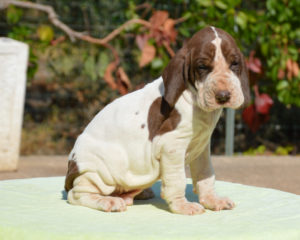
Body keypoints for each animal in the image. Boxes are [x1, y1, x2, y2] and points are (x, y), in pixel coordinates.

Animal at [65, 26, 251, 216]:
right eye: (202, 66)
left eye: (234, 64)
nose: (223, 96)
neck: (193, 98)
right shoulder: (172, 146)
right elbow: (177, 180)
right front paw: (182, 206)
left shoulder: (202, 147)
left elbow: (205, 175)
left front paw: (213, 200)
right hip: (100, 169)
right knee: (77, 194)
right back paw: (107, 201)